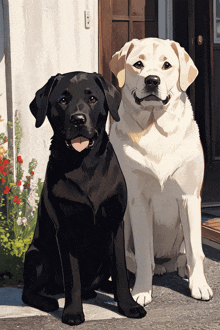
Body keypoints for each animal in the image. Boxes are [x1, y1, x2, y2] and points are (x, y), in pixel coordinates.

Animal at [21, 71, 146, 326]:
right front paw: (72, 312)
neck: (84, 164)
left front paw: (128, 306)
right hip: (37, 257)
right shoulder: (65, 229)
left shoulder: (115, 225)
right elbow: (73, 278)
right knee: (29, 292)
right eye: (62, 100)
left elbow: (120, 272)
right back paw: (49, 301)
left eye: (92, 98)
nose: (78, 120)